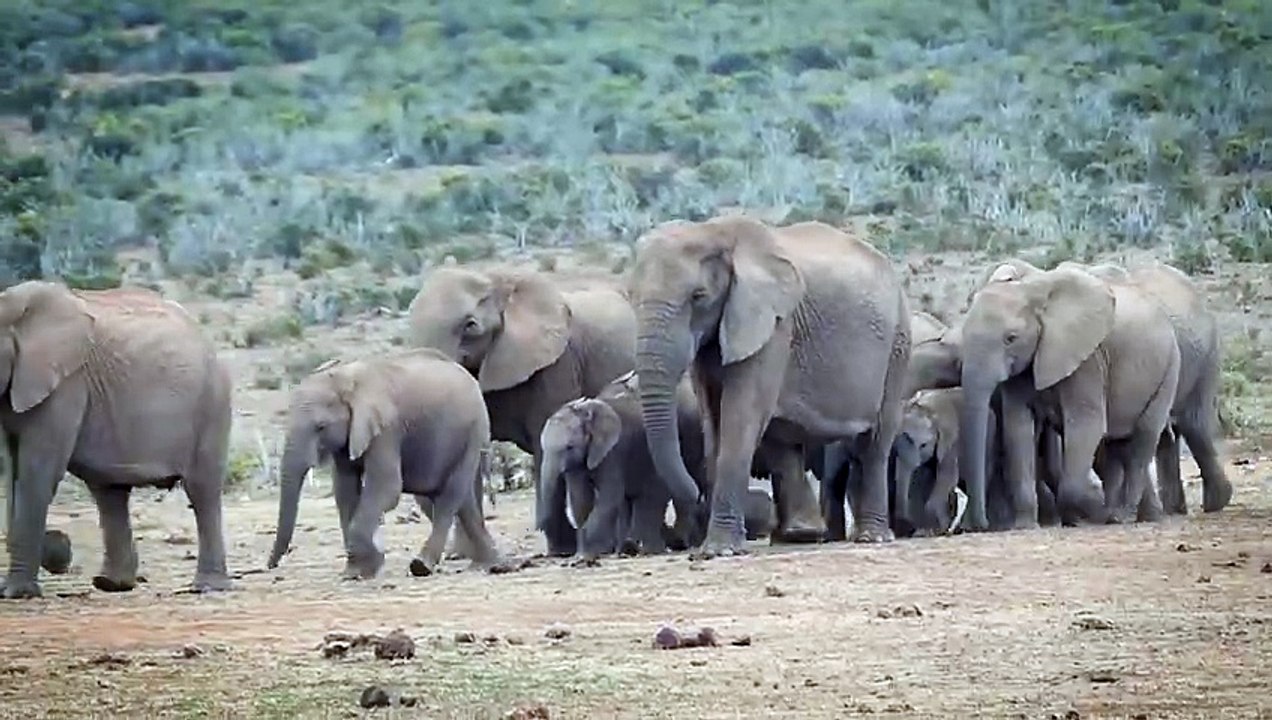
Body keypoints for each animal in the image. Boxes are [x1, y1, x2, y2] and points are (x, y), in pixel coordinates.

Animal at [0, 281, 232, 600]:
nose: (62, 548)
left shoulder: (67, 383)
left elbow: (37, 472)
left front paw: (17, 593)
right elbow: (13, 472)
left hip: (212, 403)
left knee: (202, 490)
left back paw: (208, 587)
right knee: (110, 492)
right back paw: (112, 584)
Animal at [267, 349, 504, 580]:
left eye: (321, 427)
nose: (271, 565)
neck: (346, 379)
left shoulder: (387, 429)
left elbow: (386, 487)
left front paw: (368, 566)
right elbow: (344, 490)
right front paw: (360, 569)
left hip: (473, 432)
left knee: (449, 497)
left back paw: (422, 566)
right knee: (463, 501)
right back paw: (489, 564)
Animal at [629, 215, 911, 557]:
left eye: (698, 296)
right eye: (631, 296)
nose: (695, 495)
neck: (713, 232)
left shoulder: (774, 326)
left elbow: (741, 416)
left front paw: (720, 551)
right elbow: (714, 418)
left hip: (898, 343)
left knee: (875, 440)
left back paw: (872, 537)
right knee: (784, 440)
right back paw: (797, 536)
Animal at [957, 264, 1180, 531]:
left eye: (1010, 338)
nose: (978, 525)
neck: (1032, 293)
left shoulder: (1088, 360)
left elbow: (1085, 424)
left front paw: (1085, 515)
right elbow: (1018, 428)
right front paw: (1025, 525)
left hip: (1169, 369)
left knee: (1143, 437)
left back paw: (1120, 515)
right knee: (1118, 443)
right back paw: (1127, 514)